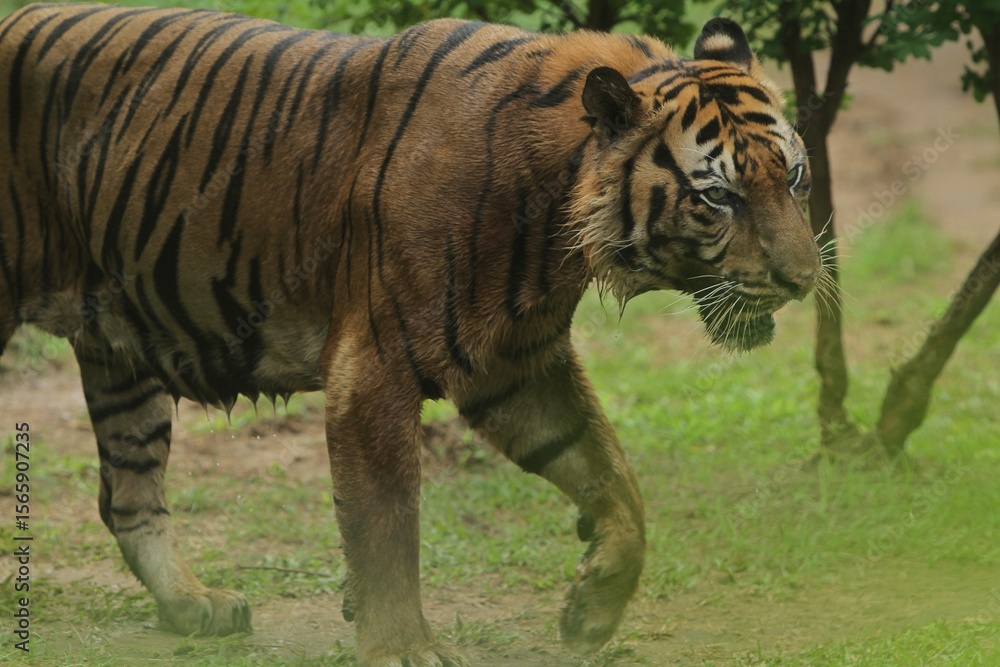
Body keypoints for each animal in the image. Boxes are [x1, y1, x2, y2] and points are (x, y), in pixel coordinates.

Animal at [0, 3, 819, 665]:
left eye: (795, 177)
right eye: (719, 197)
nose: (805, 280)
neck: (557, 215)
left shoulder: (515, 365)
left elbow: (615, 478)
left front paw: (591, 609)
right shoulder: (374, 368)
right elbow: (388, 526)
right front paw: (401, 647)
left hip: (119, 350)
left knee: (127, 494)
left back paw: (193, 604)